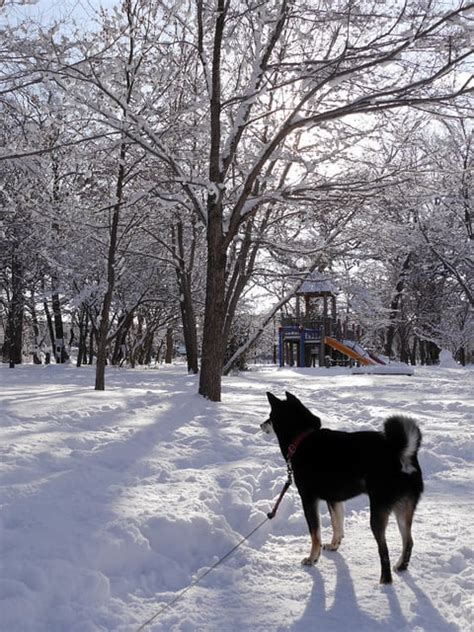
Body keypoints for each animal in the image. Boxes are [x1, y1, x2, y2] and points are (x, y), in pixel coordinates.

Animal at [262, 392, 424, 584]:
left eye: (270, 417)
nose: (261, 424)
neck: (303, 437)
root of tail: (403, 454)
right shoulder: (334, 499)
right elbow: (337, 525)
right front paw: (334, 545)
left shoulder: (309, 499)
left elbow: (315, 534)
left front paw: (312, 558)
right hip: (403, 509)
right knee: (409, 542)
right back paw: (401, 566)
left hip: (378, 512)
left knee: (384, 551)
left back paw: (385, 581)